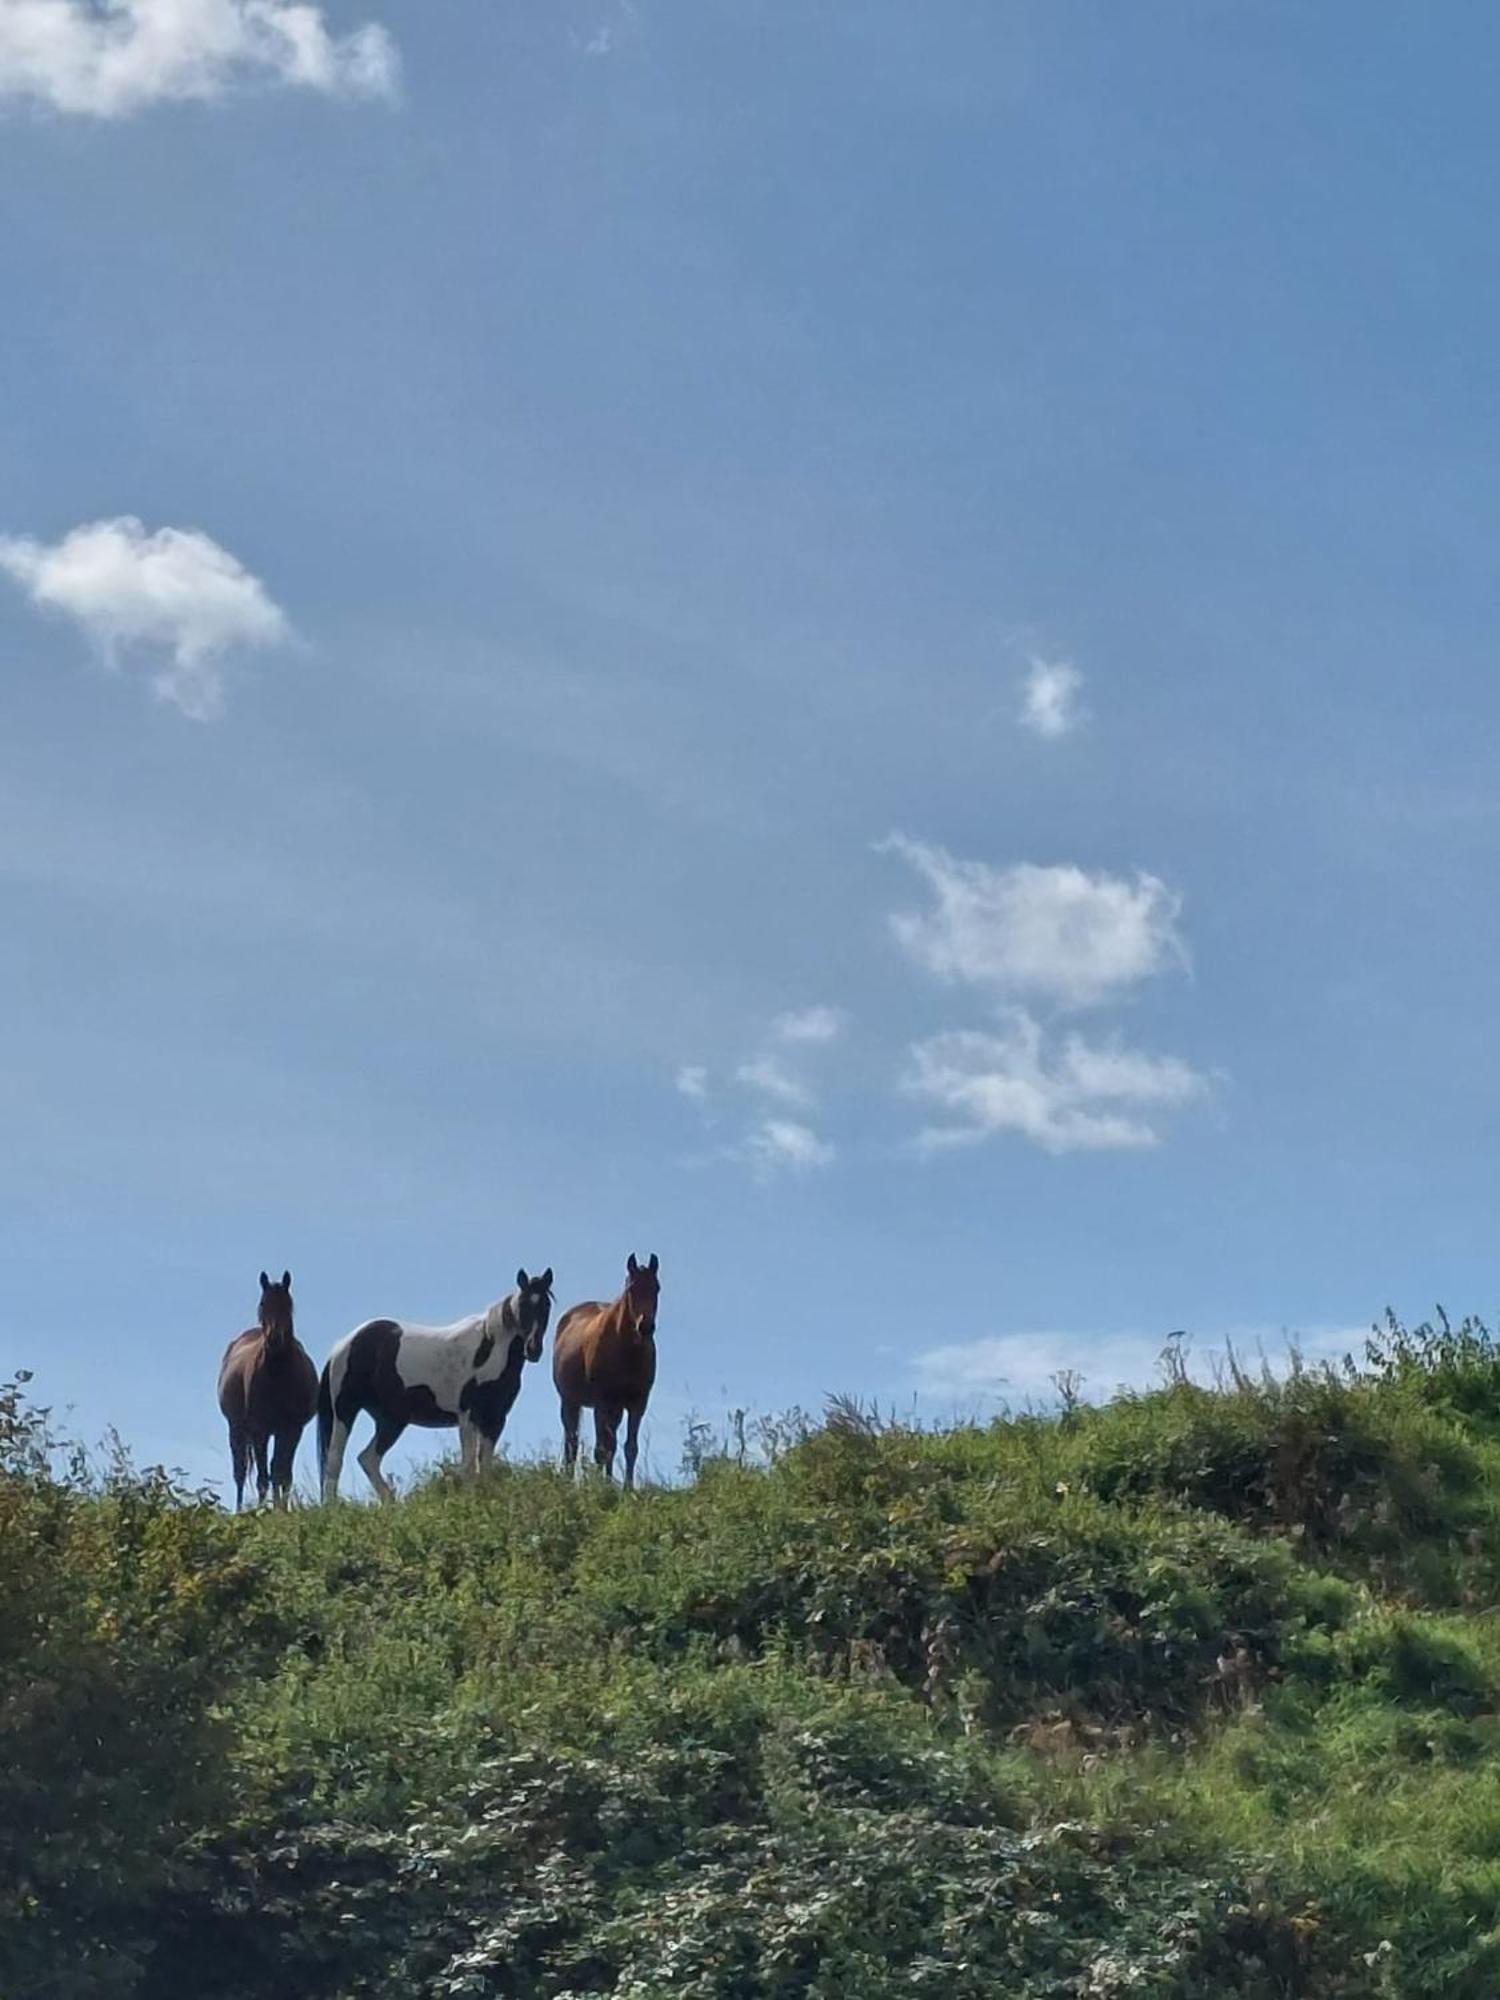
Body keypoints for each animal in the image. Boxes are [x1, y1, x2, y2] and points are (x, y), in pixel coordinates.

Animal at [217, 1272, 320, 1504]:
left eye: (288, 1304)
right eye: (263, 1303)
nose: (274, 1339)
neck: (278, 1374)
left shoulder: (292, 1429)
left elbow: (282, 1474)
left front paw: (281, 1508)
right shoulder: (259, 1429)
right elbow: (263, 1477)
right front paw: (263, 1509)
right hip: (236, 1428)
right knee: (240, 1471)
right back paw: (241, 1508)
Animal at [318, 1264, 560, 1504]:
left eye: (546, 1305)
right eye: (523, 1304)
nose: (533, 1349)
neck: (489, 1348)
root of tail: (342, 1346)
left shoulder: (495, 1419)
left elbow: (485, 1465)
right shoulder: (468, 1417)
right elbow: (469, 1466)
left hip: (391, 1420)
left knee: (367, 1459)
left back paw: (391, 1503)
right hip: (346, 1412)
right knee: (335, 1461)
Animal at [556, 1248, 660, 1488]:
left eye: (657, 1287)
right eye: (631, 1288)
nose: (646, 1326)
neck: (626, 1350)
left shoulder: (637, 1404)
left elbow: (629, 1448)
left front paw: (627, 1489)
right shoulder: (602, 1402)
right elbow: (602, 1449)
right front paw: (600, 1488)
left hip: (614, 1409)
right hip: (571, 1401)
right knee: (572, 1442)